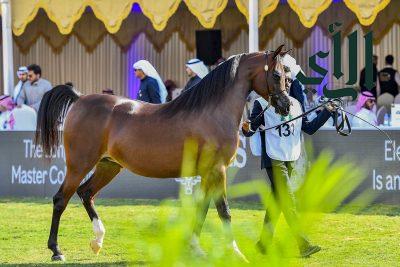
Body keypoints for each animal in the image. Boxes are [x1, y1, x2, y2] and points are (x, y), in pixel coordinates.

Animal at [35, 45, 290, 262]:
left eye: (287, 75)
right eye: (277, 75)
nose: (286, 105)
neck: (212, 112)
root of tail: (79, 99)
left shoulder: (208, 173)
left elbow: (202, 209)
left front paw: (195, 248)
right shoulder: (218, 171)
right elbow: (223, 211)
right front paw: (236, 252)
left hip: (109, 165)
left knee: (86, 193)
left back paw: (97, 241)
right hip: (79, 164)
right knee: (61, 199)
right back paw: (56, 250)